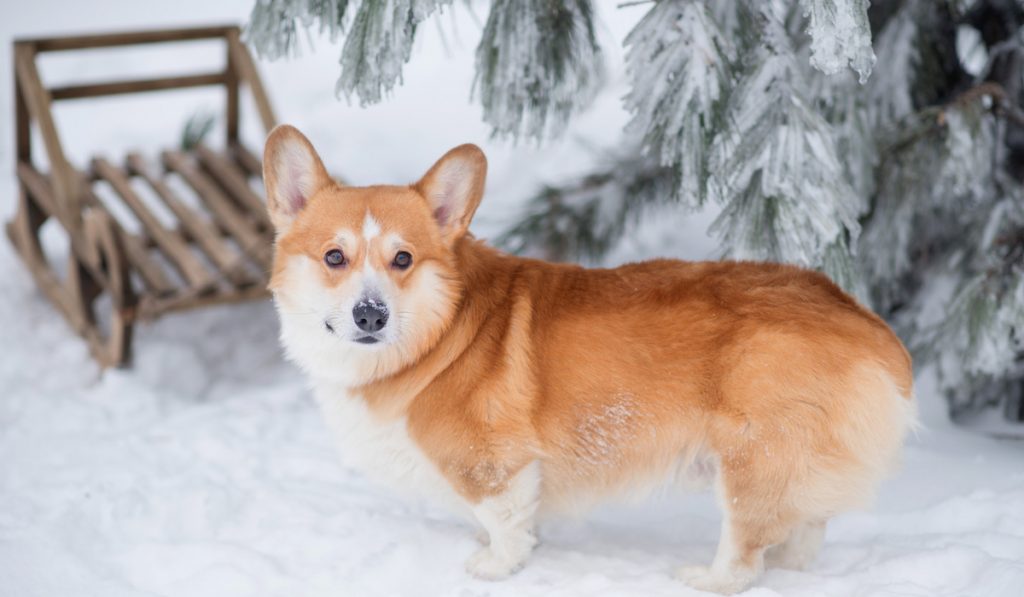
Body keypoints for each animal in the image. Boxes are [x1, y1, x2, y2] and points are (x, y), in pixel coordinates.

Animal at [264, 124, 921, 593]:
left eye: (402, 259)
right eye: (334, 257)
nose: (370, 315)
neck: (438, 330)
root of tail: (864, 322)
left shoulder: (494, 466)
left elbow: (503, 524)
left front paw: (495, 567)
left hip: (750, 460)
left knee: (744, 554)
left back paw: (705, 577)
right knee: (806, 527)